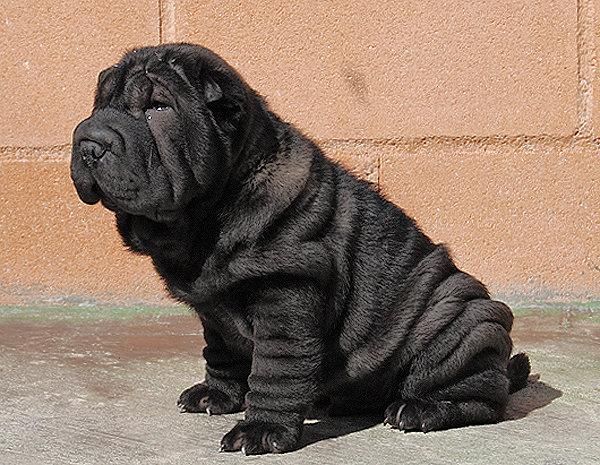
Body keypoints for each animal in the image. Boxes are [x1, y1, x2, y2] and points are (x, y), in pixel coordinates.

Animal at [71, 43, 528, 454]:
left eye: (158, 108)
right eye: (98, 105)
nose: (88, 142)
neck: (206, 219)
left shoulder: (286, 293)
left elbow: (275, 370)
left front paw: (260, 431)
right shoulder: (214, 310)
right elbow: (222, 353)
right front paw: (215, 396)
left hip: (460, 320)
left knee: (479, 397)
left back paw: (418, 410)